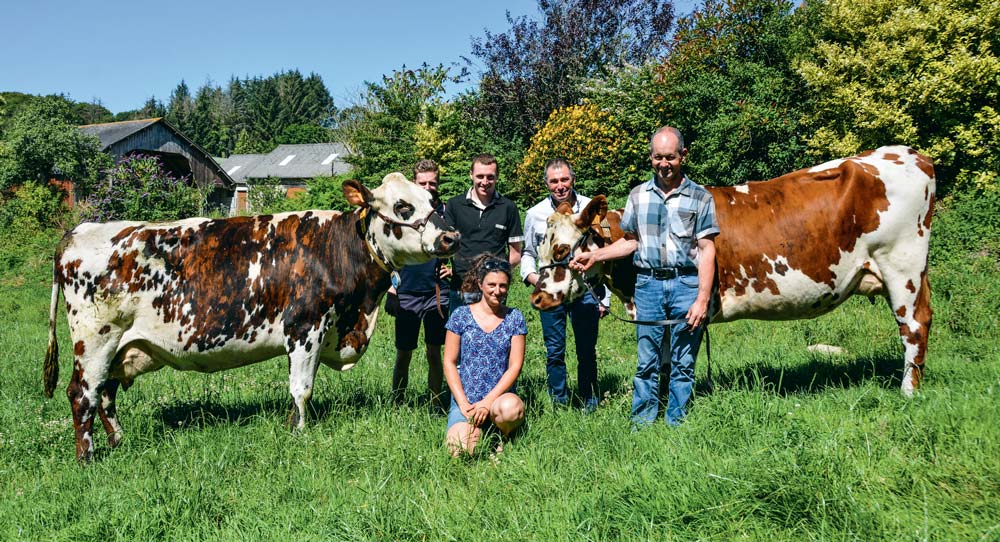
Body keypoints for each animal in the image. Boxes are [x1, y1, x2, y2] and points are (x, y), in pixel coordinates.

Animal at [42, 175, 458, 464]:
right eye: (403, 207)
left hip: (119, 346)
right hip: (96, 340)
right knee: (82, 394)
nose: (449, 237)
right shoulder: (305, 327)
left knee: (105, 394)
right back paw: (87, 457)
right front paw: (299, 432)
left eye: (433, 200)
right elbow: (301, 388)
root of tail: (79, 231)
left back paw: (119, 440)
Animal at [532, 147, 936, 398]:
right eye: (540, 247)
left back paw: (907, 392)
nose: (536, 296)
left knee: (914, 326)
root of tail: (906, 153)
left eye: (562, 250)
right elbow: (663, 360)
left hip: (902, 266)